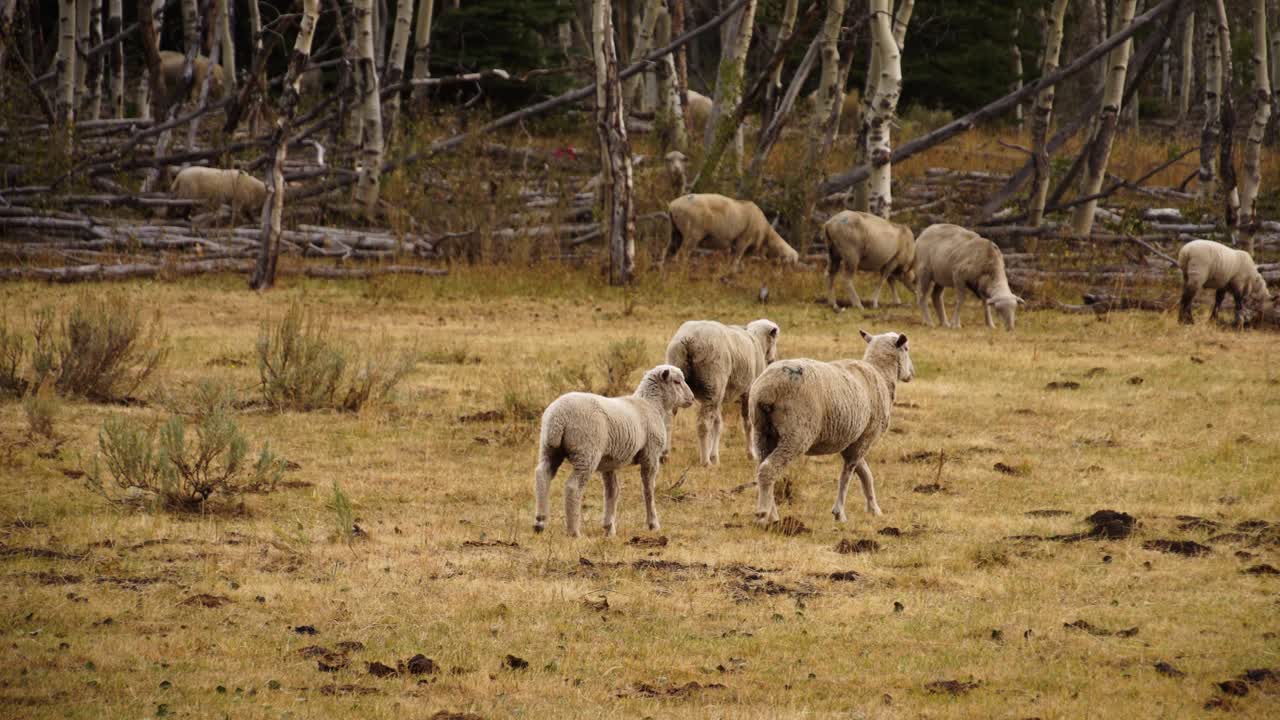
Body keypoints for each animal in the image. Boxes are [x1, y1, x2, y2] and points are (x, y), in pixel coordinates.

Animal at [533, 364, 695, 537]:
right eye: (677, 382)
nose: (692, 399)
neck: (652, 404)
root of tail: (558, 417)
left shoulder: (609, 462)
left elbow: (612, 491)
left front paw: (609, 528)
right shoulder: (651, 455)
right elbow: (648, 490)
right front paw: (653, 524)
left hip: (549, 448)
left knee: (542, 475)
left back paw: (540, 522)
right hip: (587, 452)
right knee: (573, 487)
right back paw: (574, 531)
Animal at [664, 319, 780, 466]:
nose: (772, 360)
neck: (757, 341)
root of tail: (689, 339)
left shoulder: (720, 395)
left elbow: (718, 424)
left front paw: (715, 456)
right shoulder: (748, 391)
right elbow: (747, 423)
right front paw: (750, 454)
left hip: (686, 380)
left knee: (668, 420)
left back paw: (665, 455)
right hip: (712, 384)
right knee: (703, 424)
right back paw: (705, 461)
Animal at [666, 193, 800, 268]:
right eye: (790, 262)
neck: (766, 233)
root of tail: (673, 205)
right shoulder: (744, 239)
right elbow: (736, 261)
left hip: (676, 231)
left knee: (669, 252)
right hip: (693, 232)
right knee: (680, 256)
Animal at [749, 330, 914, 525]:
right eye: (906, 349)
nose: (911, 374)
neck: (881, 374)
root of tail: (767, 390)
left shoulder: (852, 440)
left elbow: (865, 473)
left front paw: (874, 509)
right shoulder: (865, 437)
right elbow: (847, 474)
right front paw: (839, 512)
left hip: (761, 431)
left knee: (762, 466)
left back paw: (771, 514)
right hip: (797, 433)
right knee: (769, 469)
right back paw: (764, 515)